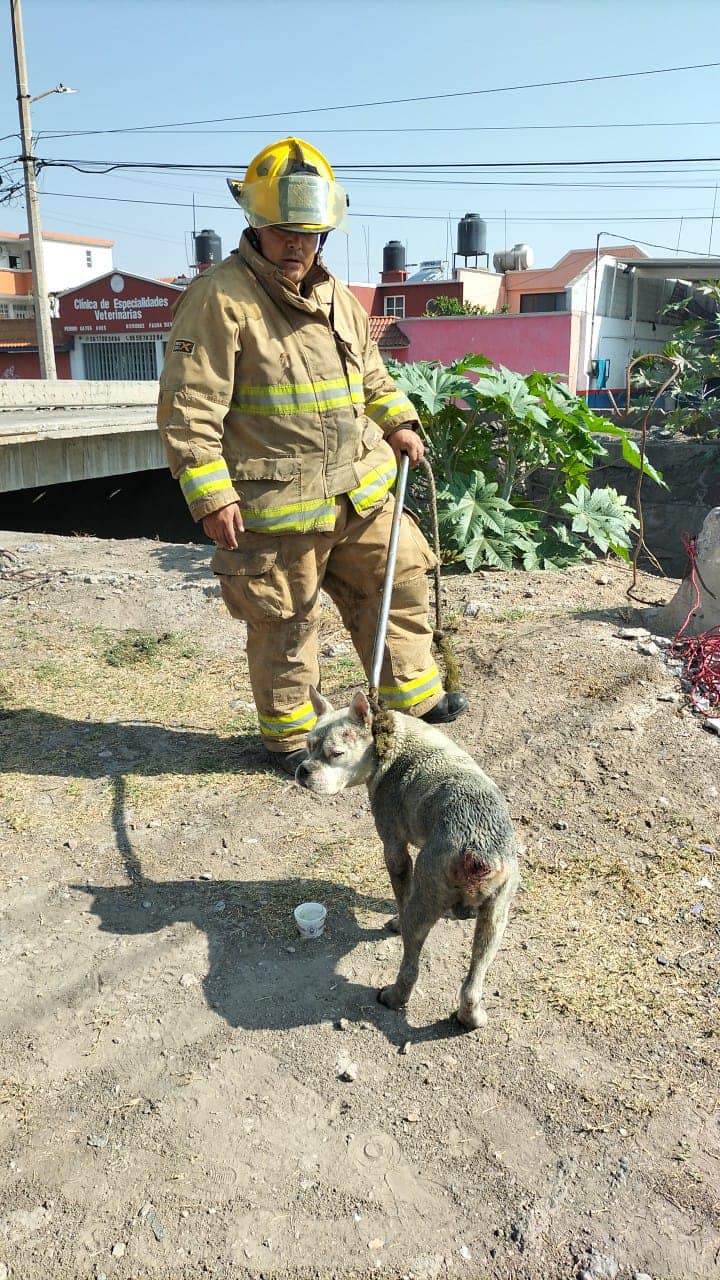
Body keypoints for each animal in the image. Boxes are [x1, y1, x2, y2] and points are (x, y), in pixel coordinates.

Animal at [294, 691, 517, 1029]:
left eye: (336, 753)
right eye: (307, 745)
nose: (304, 769)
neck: (384, 742)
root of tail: (476, 851)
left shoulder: (395, 850)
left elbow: (402, 895)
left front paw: (395, 921)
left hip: (425, 906)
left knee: (411, 964)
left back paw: (394, 996)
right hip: (496, 918)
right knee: (473, 981)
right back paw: (471, 1017)